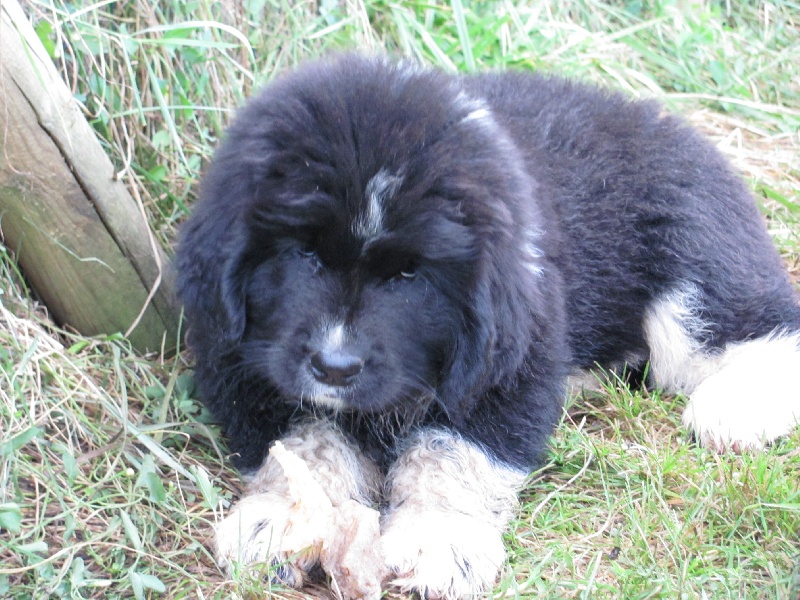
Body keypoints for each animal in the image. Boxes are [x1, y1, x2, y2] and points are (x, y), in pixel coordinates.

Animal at [177, 54, 800, 596]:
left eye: (410, 273)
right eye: (304, 252)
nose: (334, 367)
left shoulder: (508, 355)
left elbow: (454, 451)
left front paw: (436, 539)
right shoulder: (244, 353)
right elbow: (301, 444)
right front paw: (283, 520)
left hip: (692, 248)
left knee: (751, 323)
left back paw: (734, 406)